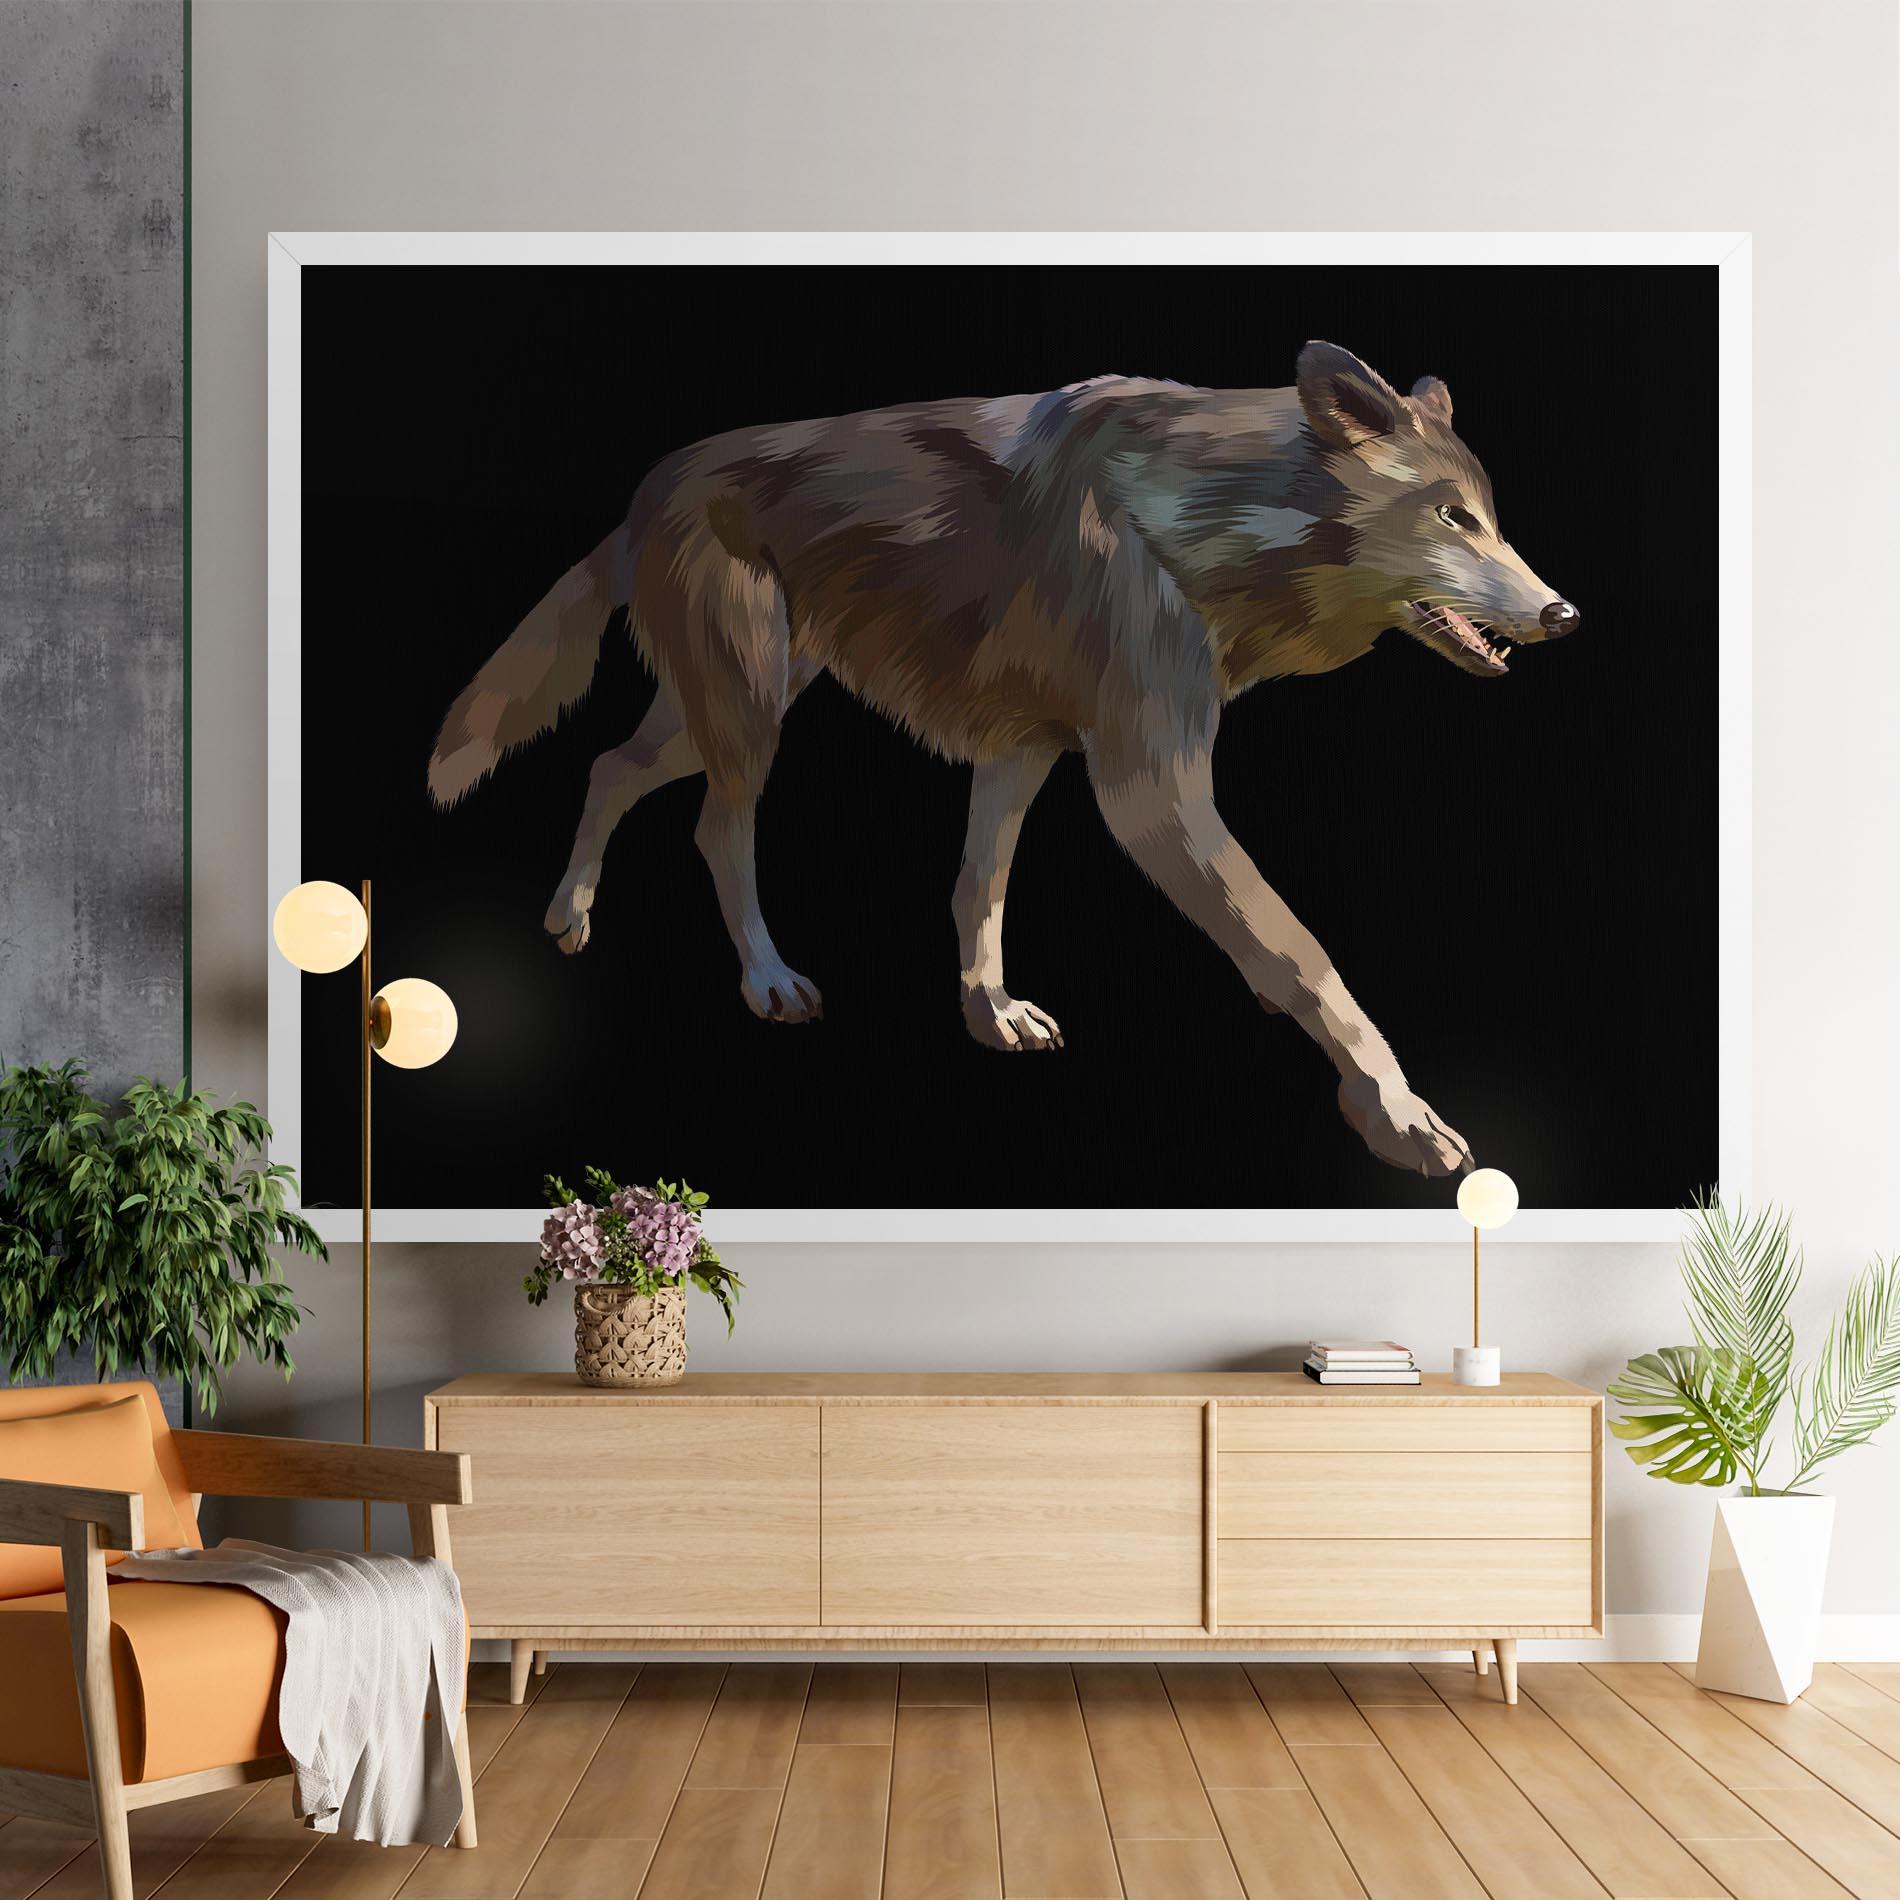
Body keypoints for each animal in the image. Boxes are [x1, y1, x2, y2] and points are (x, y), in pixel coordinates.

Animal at [428, 342, 1578, 1176]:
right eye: (1452, 516)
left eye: (1492, 518)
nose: (1564, 615)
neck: (1202, 523)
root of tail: (648, 482)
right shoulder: (1149, 792)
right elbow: (1304, 955)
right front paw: (1398, 1115)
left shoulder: (1021, 751)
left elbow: (978, 890)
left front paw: (989, 1015)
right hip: (749, 716)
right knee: (715, 827)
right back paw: (766, 980)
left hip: (724, 710)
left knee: (608, 766)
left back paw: (569, 916)